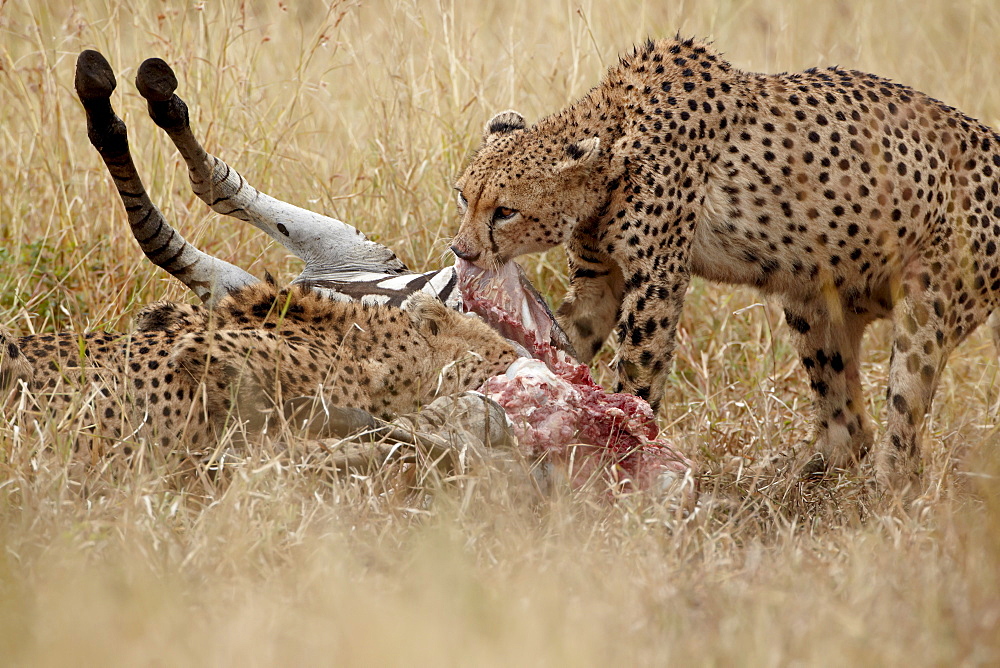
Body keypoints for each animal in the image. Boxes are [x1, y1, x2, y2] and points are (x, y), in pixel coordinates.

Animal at [452, 36, 1000, 488]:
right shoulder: (598, 281)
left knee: (903, 436)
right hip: (815, 299)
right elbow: (569, 339)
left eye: (505, 211)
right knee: (850, 426)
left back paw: (878, 497)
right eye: (463, 196)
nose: (462, 250)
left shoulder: (657, 283)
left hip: (925, 308)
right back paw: (789, 478)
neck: (617, 135)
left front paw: (626, 454)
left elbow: (638, 374)